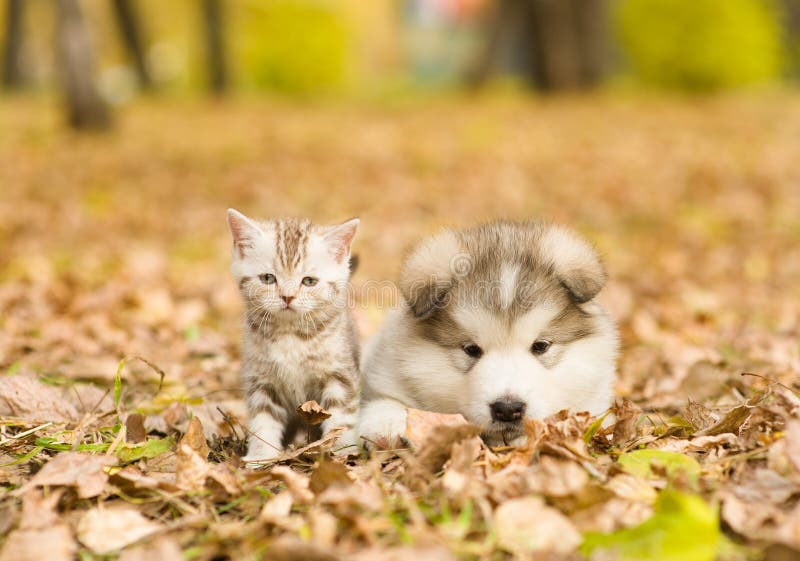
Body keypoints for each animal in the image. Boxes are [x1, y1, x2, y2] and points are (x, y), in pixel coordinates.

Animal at [227, 208, 360, 462]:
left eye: (309, 281)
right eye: (268, 278)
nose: (287, 297)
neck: (290, 335)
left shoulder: (340, 373)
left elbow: (341, 415)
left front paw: (342, 452)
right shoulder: (261, 380)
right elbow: (263, 419)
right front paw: (261, 457)